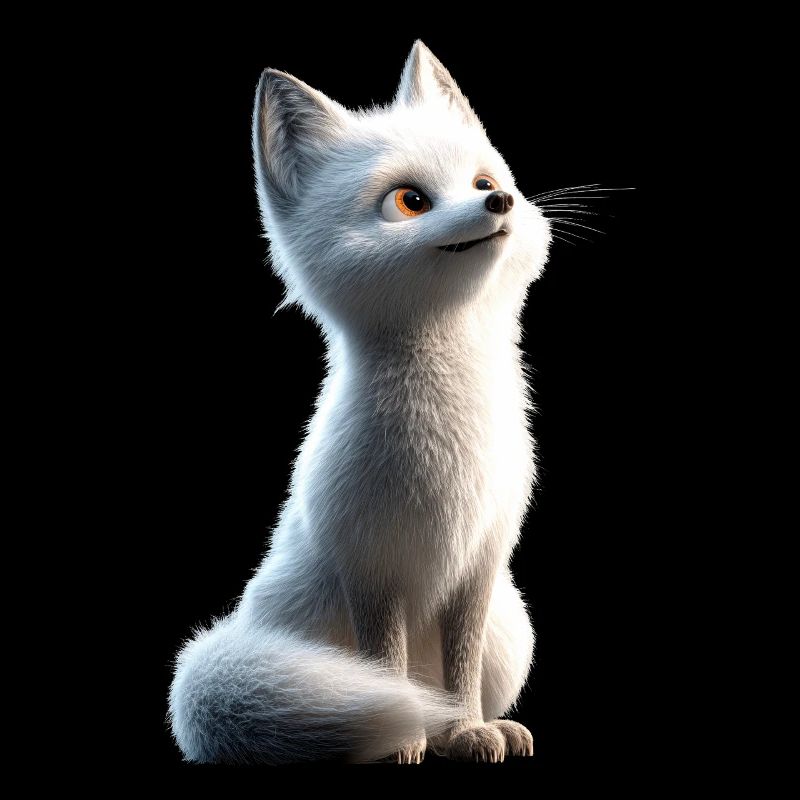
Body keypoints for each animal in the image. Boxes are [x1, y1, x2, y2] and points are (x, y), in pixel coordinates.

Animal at [169, 40, 551, 765]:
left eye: (483, 182)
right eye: (410, 200)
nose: (502, 201)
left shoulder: (481, 563)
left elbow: (458, 670)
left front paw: (466, 729)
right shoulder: (370, 565)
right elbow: (384, 664)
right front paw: (410, 737)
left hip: (511, 626)